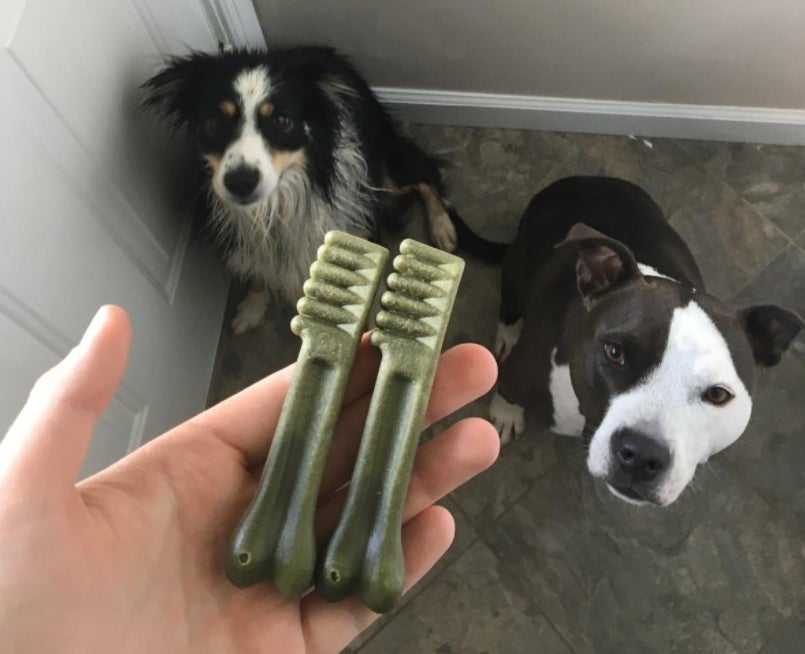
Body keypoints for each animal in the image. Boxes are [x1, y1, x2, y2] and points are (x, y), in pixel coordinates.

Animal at [144, 47, 458, 334]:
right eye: (214, 122)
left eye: (281, 120)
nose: (240, 182)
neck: (277, 206)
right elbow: (260, 269)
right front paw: (251, 309)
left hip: (385, 170)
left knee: (427, 174)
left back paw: (443, 229)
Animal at [486, 177, 800, 510]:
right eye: (614, 352)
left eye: (718, 394)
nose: (641, 455)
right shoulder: (520, 371)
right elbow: (506, 389)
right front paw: (505, 415)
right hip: (514, 268)